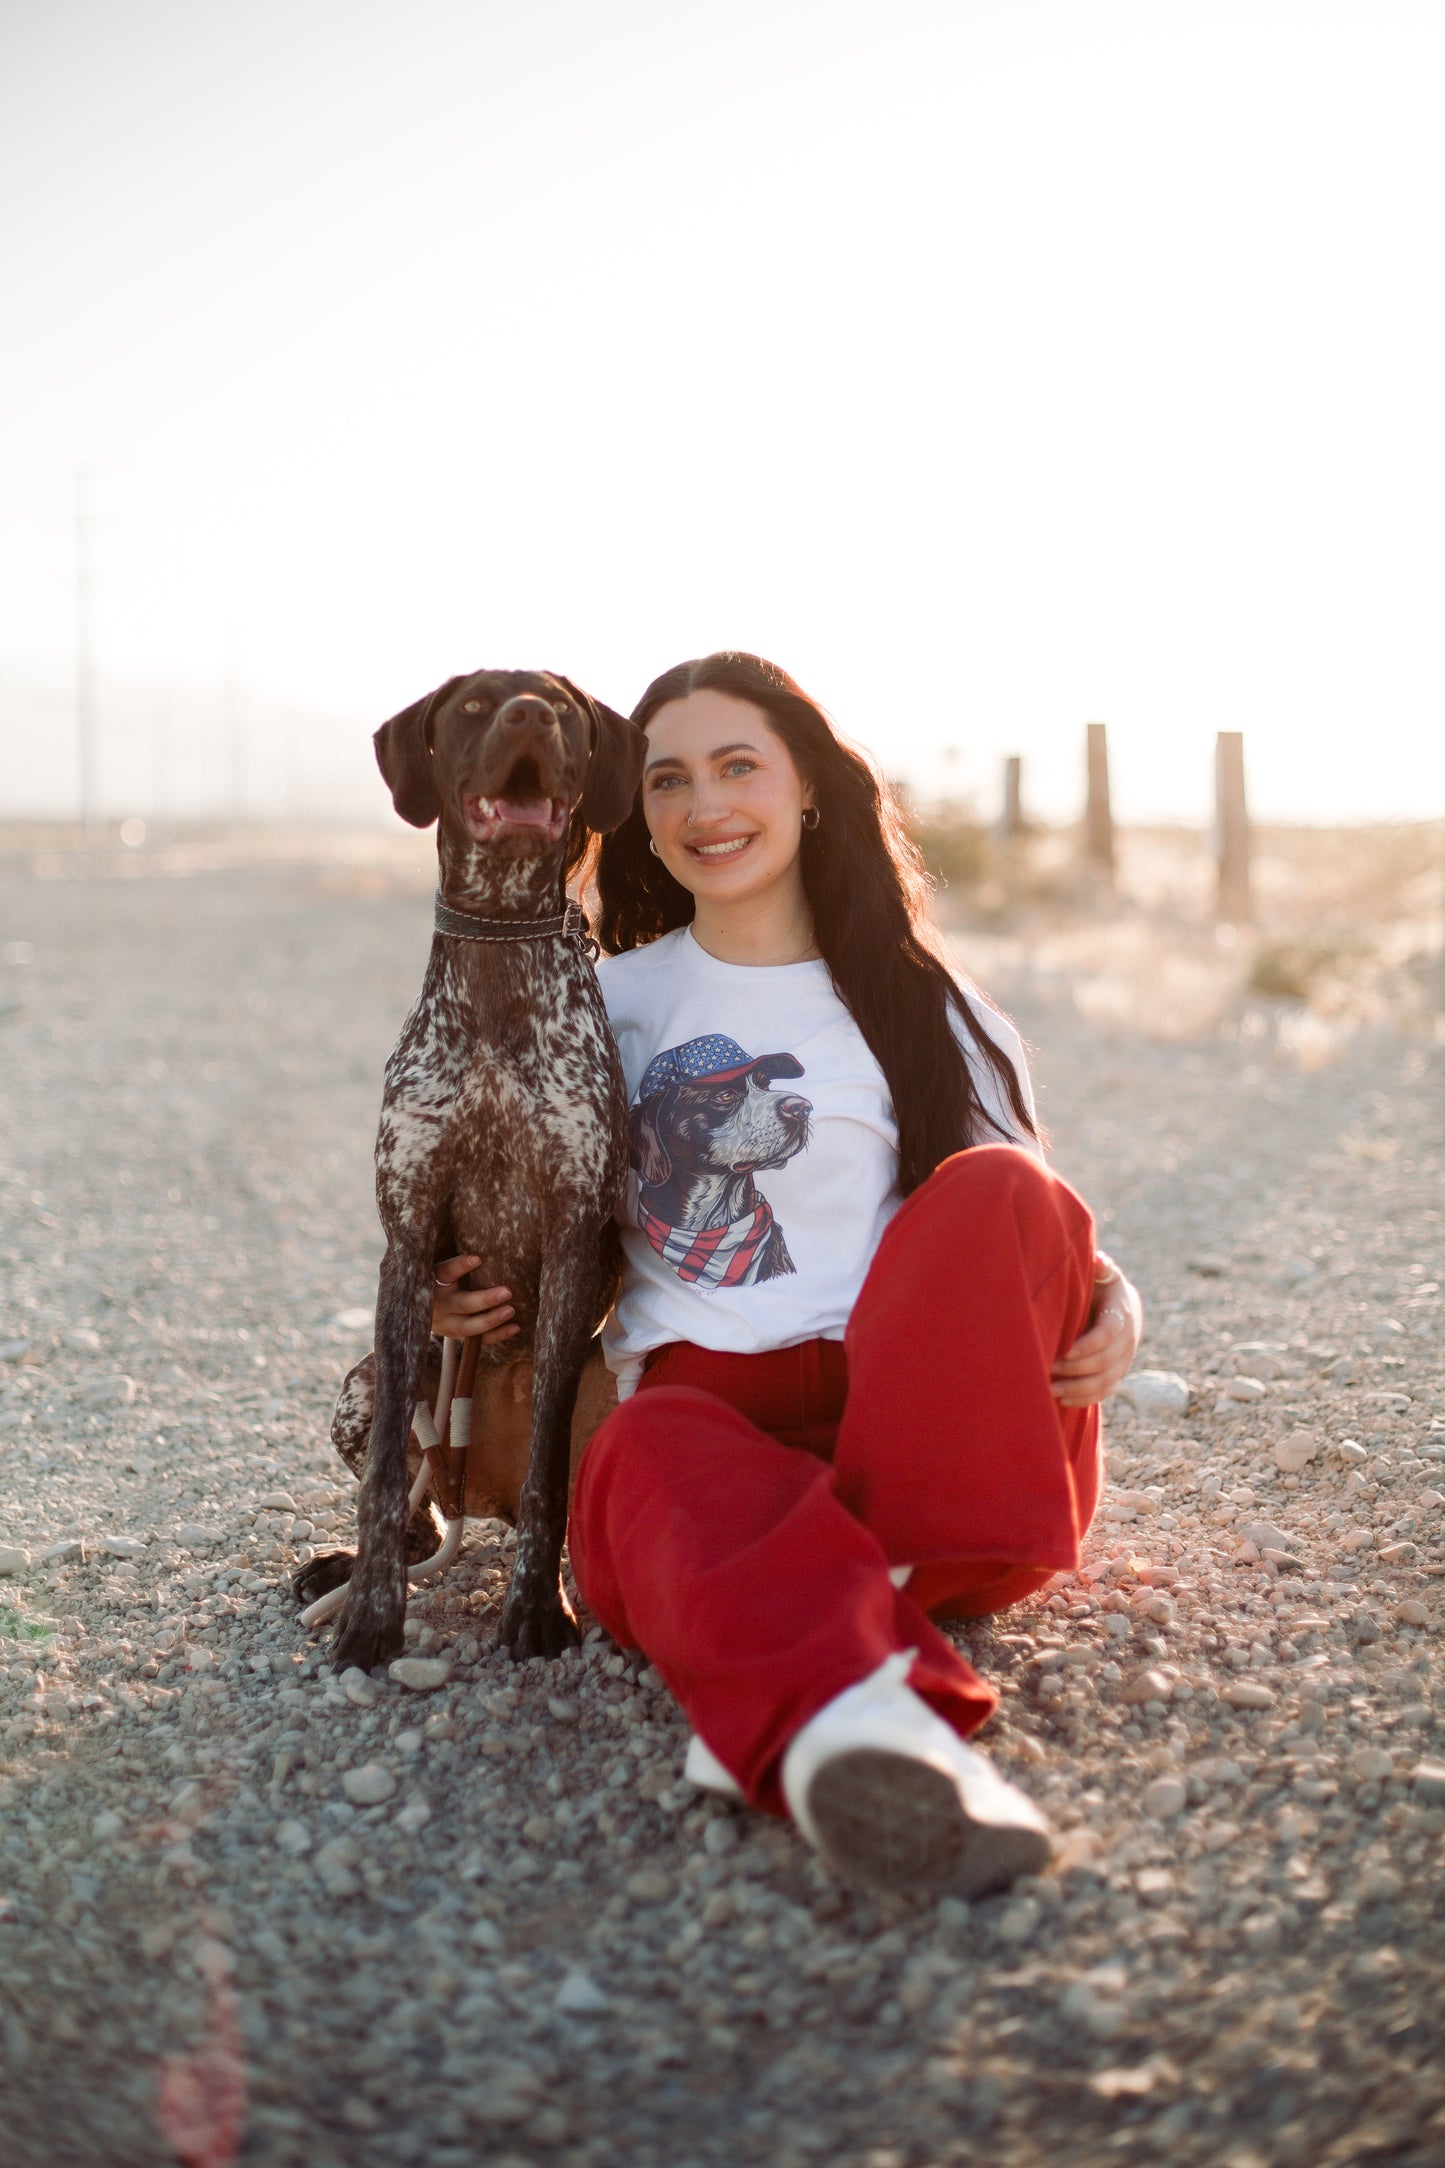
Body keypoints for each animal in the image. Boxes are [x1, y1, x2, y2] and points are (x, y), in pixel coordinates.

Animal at [298, 667, 645, 1665]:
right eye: (476, 705)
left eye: (559, 706)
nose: (528, 715)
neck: (498, 952)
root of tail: (469, 1491)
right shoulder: (410, 1239)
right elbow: (381, 1482)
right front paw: (373, 1616)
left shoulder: (571, 1236)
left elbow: (547, 1477)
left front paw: (535, 1611)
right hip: (368, 1380)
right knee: (412, 1504)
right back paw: (346, 1568)